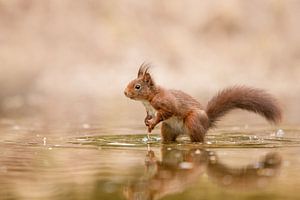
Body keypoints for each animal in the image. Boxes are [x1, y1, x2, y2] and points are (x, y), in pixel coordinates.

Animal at [123, 63, 282, 142]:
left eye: (137, 86)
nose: (124, 92)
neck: (148, 100)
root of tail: (207, 121)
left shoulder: (165, 102)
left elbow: (167, 112)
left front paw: (152, 123)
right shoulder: (149, 109)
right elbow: (149, 115)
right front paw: (146, 121)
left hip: (193, 121)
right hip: (168, 129)